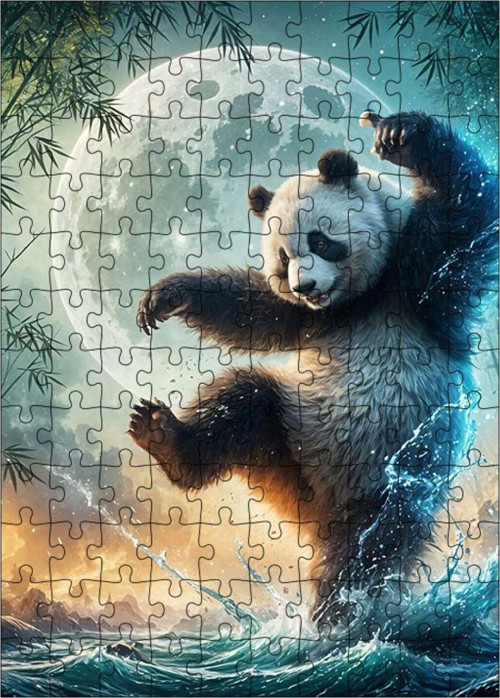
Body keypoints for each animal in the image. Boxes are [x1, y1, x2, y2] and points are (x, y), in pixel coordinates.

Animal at [129, 111, 497, 623]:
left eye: (321, 240)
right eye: (283, 259)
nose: (305, 286)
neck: (355, 300)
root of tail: (317, 511)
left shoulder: (414, 282)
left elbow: (466, 214)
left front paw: (402, 136)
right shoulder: (309, 319)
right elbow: (255, 312)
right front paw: (168, 295)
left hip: (394, 474)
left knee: (373, 545)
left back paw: (339, 610)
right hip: (290, 438)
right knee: (243, 404)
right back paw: (167, 439)